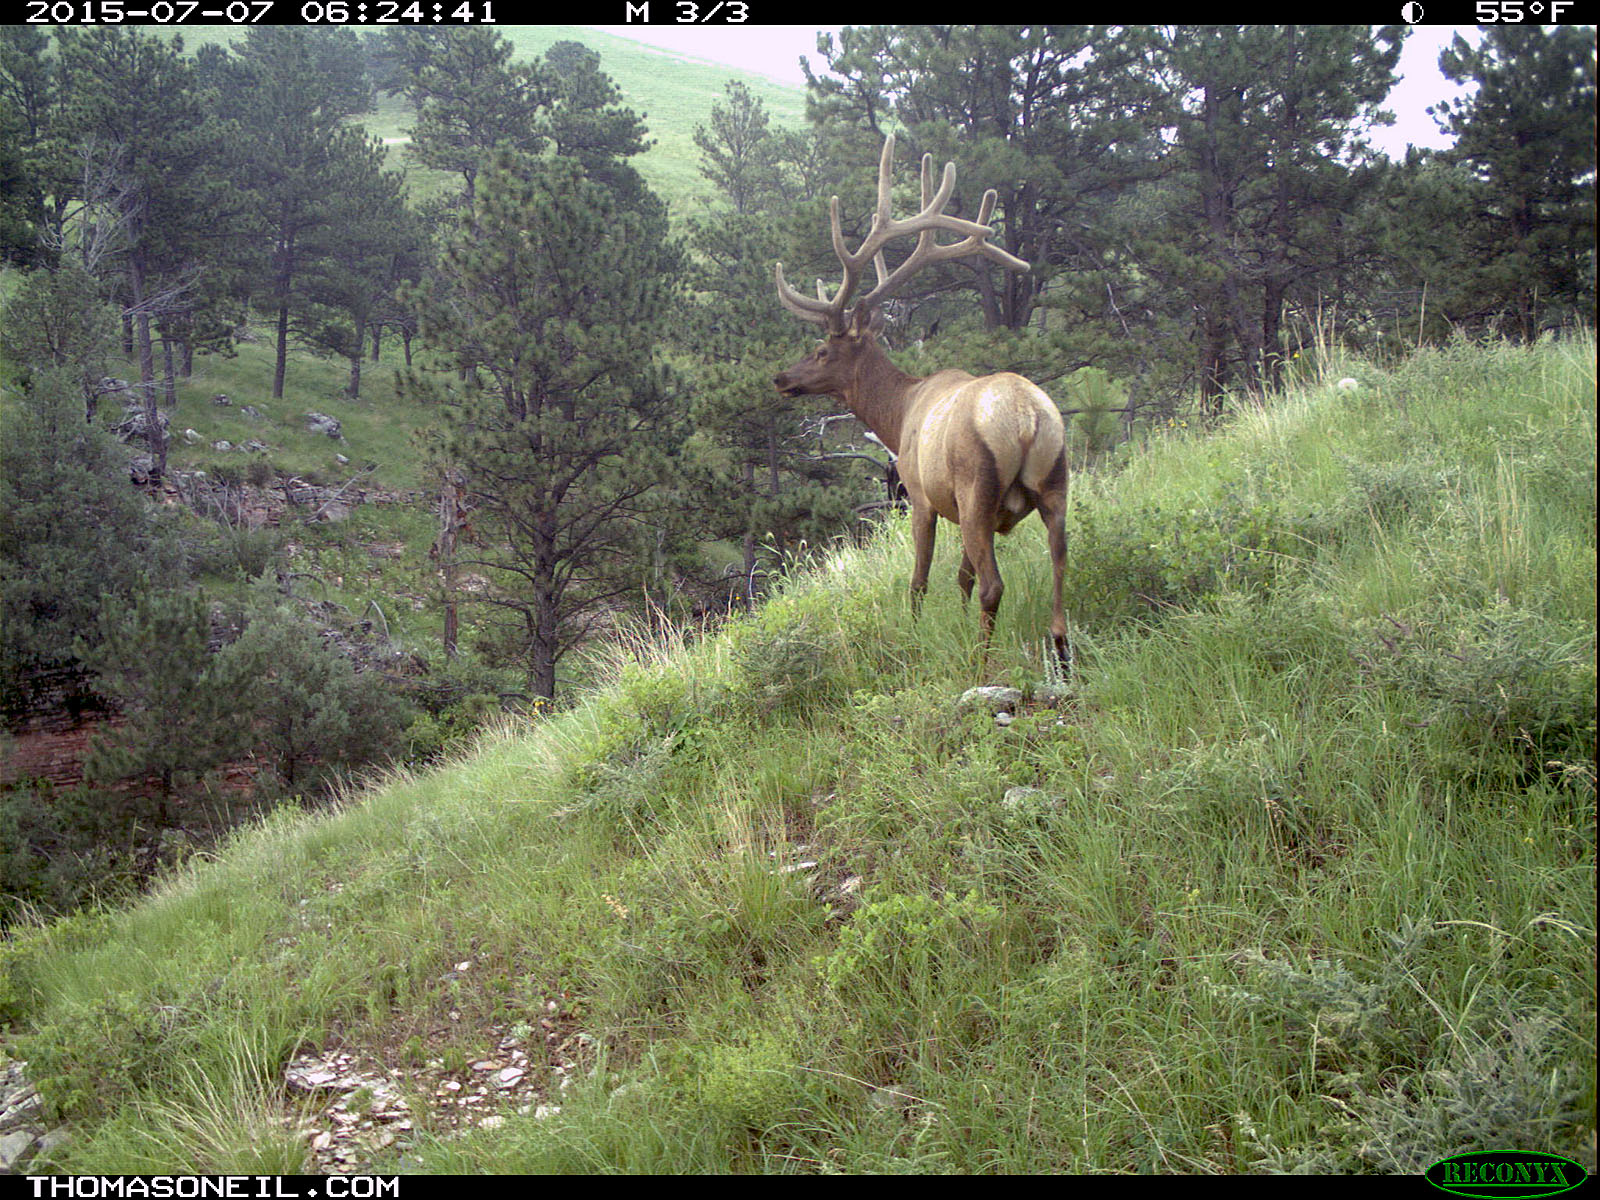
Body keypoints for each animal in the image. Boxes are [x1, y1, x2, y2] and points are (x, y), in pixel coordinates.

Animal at [777, 138, 1075, 678]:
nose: (781, 378)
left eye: (822, 351)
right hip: (1055, 482)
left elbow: (919, 580)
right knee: (1059, 558)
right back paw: (1059, 646)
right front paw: (953, 621)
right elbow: (961, 578)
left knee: (996, 583)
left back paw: (981, 664)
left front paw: (914, 637)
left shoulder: (919, 494)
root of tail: (1027, 420)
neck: (897, 418)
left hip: (978, 489)